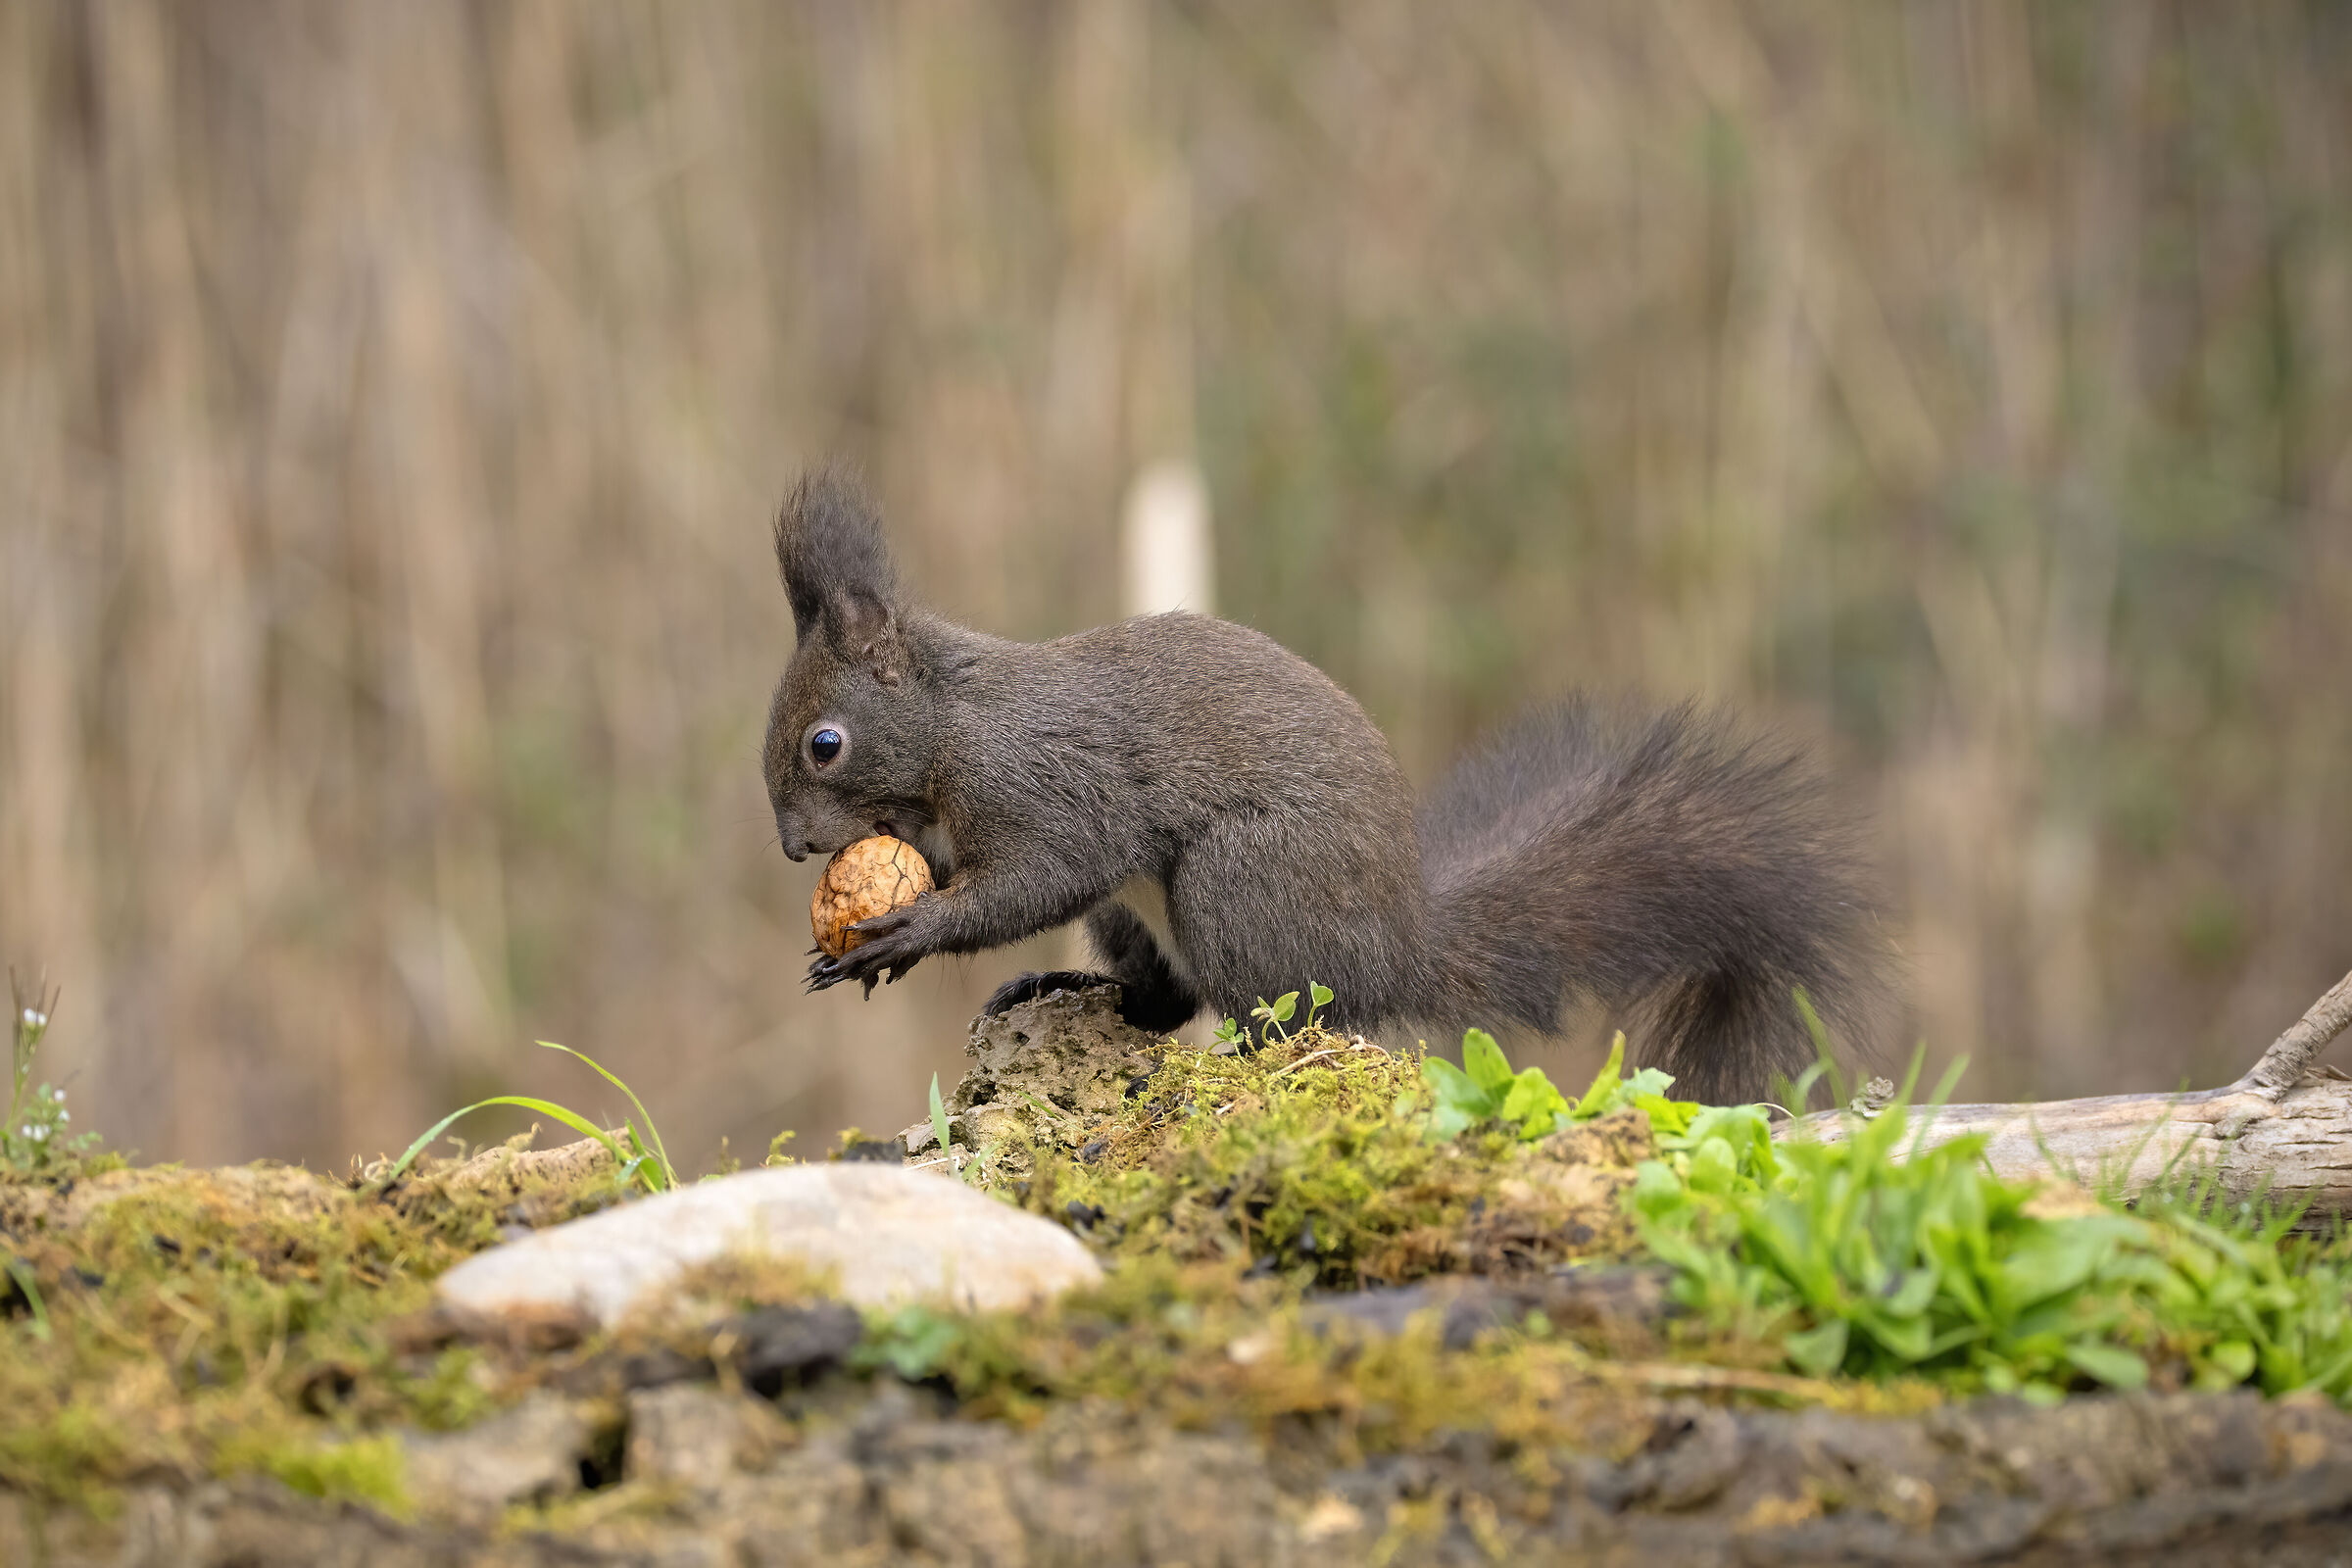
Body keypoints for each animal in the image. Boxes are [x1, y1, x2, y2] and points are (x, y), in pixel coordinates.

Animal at [764, 470, 1888, 1104]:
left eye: (825, 743)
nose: (790, 847)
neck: (948, 733)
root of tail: (1400, 949)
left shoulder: (1045, 782)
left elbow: (1045, 874)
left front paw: (907, 933)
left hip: (1241, 883)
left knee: (1281, 1020)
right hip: (1146, 918)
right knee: (1164, 997)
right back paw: (1069, 991)